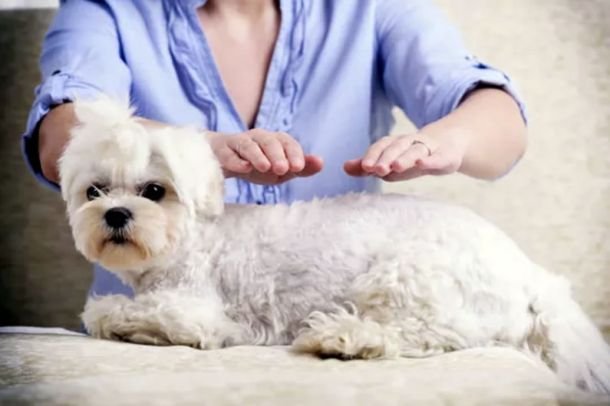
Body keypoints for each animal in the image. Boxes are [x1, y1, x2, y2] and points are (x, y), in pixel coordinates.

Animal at [58, 98, 610, 395]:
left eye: (155, 191)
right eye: (95, 192)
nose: (116, 214)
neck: (197, 238)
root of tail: (533, 278)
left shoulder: (196, 312)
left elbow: (111, 312)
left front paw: (121, 320)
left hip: (406, 278)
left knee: (427, 335)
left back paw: (345, 337)